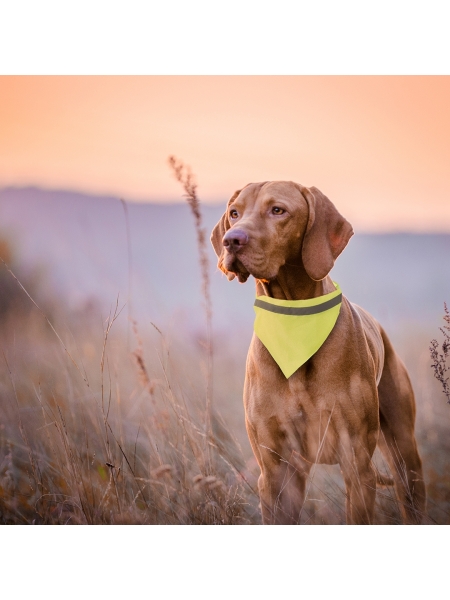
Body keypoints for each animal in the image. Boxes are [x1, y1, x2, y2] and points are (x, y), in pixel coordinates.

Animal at [211, 180, 426, 524]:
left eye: (278, 210)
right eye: (234, 213)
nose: (231, 240)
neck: (294, 324)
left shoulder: (357, 464)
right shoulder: (276, 472)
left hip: (404, 453)